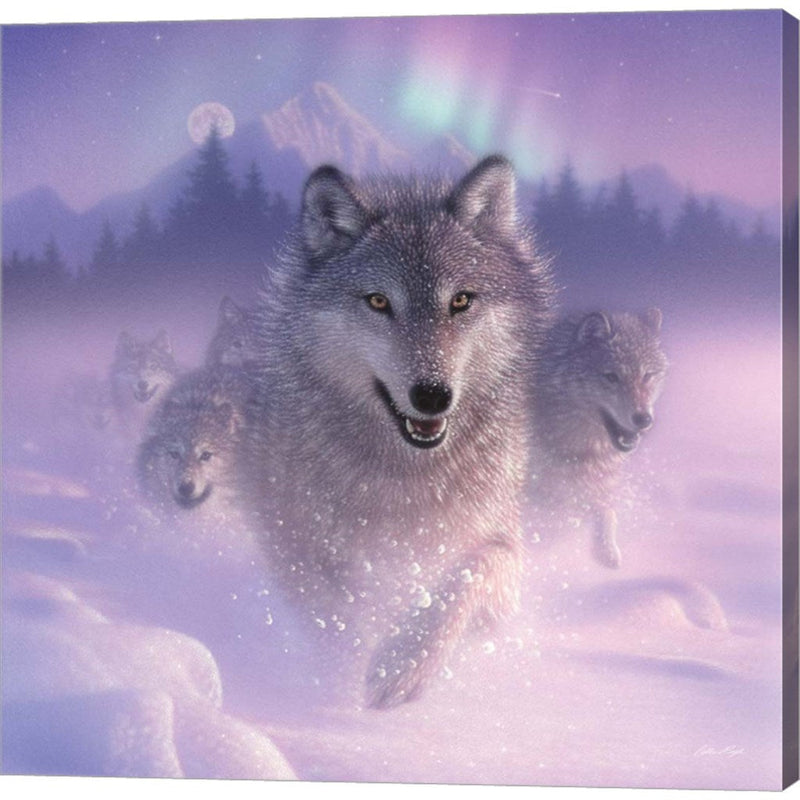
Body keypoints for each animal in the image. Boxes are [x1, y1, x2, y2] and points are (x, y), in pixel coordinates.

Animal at [239, 155, 554, 709]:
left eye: (461, 301)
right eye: (379, 302)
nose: (431, 395)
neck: (407, 476)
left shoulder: (500, 550)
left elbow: (466, 577)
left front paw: (399, 664)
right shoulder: (297, 542)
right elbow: (336, 611)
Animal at [528, 309, 668, 569]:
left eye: (647, 375)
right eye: (612, 377)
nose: (644, 419)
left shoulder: (590, 488)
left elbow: (607, 512)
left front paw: (607, 550)